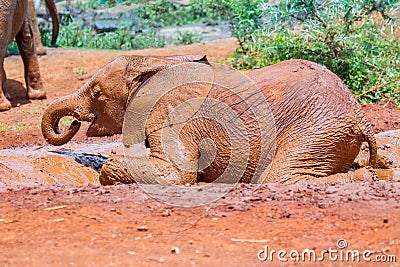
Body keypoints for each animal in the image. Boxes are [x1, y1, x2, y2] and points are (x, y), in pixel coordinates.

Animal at [40, 55, 378, 185]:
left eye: (96, 93)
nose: (72, 124)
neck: (151, 61)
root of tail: (360, 115)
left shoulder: (174, 117)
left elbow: (177, 175)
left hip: (316, 130)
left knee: (278, 179)